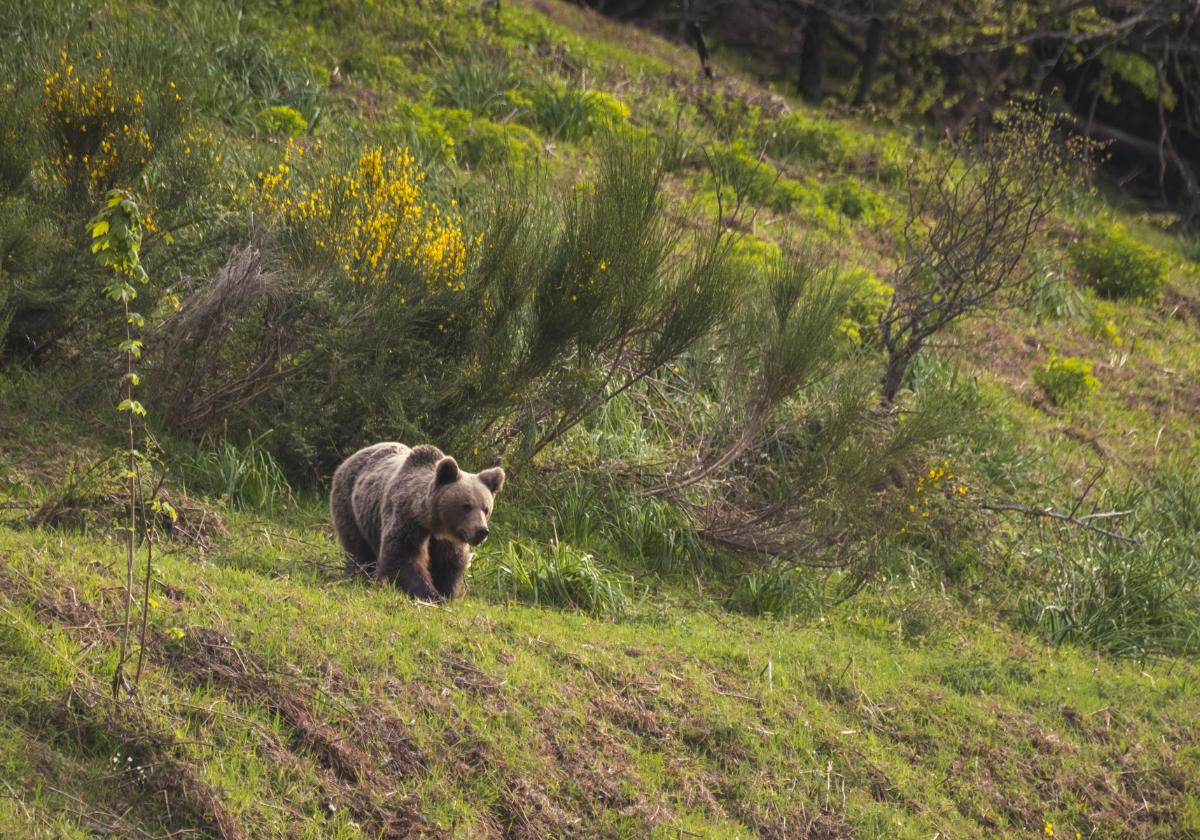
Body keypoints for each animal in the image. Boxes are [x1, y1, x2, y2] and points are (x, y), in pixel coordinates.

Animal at [328, 444, 501, 600]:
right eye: (466, 506)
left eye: (486, 509)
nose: (481, 531)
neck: (433, 523)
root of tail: (350, 458)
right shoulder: (407, 521)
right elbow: (402, 558)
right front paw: (432, 595)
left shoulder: (448, 539)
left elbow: (449, 564)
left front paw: (448, 593)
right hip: (349, 505)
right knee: (357, 547)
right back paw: (360, 575)